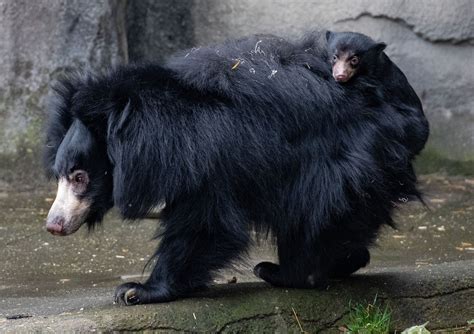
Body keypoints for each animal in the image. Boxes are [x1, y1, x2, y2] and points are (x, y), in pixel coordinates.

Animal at [44, 32, 430, 306]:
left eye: (80, 177)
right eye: (60, 174)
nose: (54, 224)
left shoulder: (210, 163)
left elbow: (206, 225)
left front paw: (137, 290)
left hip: (340, 162)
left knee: (315, 212)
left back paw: (288, 271)